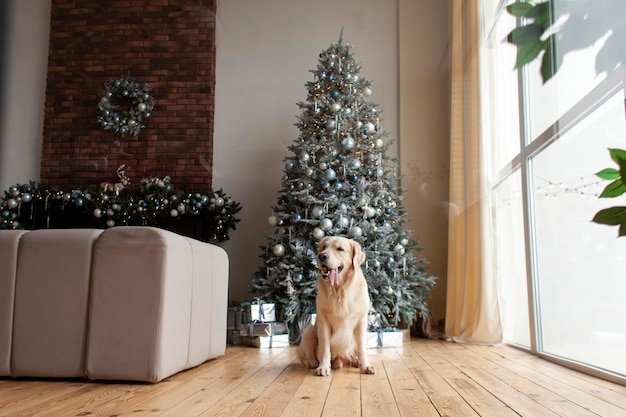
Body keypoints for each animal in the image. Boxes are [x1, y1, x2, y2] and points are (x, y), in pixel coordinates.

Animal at [296, 236, 372, 376]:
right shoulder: (323, 321)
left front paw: (365, 365)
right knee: (304, 354)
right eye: (324, 247)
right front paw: (323, 367)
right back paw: (312, 362)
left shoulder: (361, 320)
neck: (340, 290)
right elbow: (325, 348)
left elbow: (361, 347)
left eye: (340, 249)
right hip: (310, 331)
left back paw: (355, 360)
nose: (321, 256)